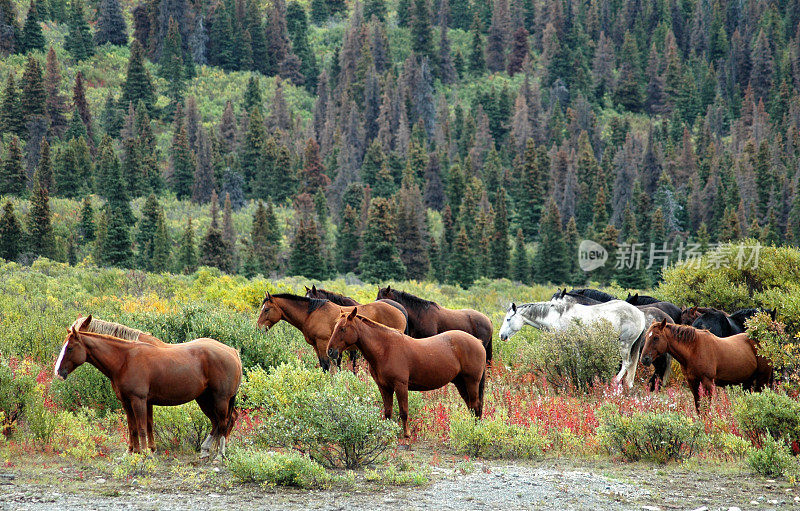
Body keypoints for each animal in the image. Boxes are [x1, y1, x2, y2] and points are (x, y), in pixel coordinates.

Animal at [54, 318, 241, 458]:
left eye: (70, 348)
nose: (58, 372)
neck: (125, 360)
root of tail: (232, 352)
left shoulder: (139, 400)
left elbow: (143, 426)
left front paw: (145, 453)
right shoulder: (127, 402)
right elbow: (133, 427)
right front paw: (133, 452)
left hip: (220, 399)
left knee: (224, 422)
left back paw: (219, 454)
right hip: (204, 399)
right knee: (217, 422)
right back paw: (206, 450)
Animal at [256, 292, 406, 372]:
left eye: (266, 309)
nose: (258, 328)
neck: (311, 314)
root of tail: (400, 312)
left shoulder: (323, 344)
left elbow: (326, 365)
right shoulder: (316, 346)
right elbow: (323, 365)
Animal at [326, 308, 488, 440]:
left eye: (342, 328)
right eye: (335, 327)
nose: (330, 351)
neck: (385, 349)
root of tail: (478, 342)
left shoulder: (400, 385)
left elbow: (403, 411)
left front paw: (407, 434)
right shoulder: (384, 387)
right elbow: (388, 411)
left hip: (472, 382)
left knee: (476, 405)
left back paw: (475, 430)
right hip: (461, 383)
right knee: (472, 406)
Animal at [500, 300, 648, 388]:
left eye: (508, 319)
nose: (501, 336)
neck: (556, 318)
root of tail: (640, 314)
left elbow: (573, 366)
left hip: (624, 344)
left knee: (626, 363)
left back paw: (615, 382)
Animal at [640, 320, 772, 412]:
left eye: (656, 337)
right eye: (646, 337)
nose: (644, 359)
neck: (694, 349)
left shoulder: (707, 382)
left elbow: (706, 407)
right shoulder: (693, 382)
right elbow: (698, 406)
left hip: (761, 380)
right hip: (747, 382)